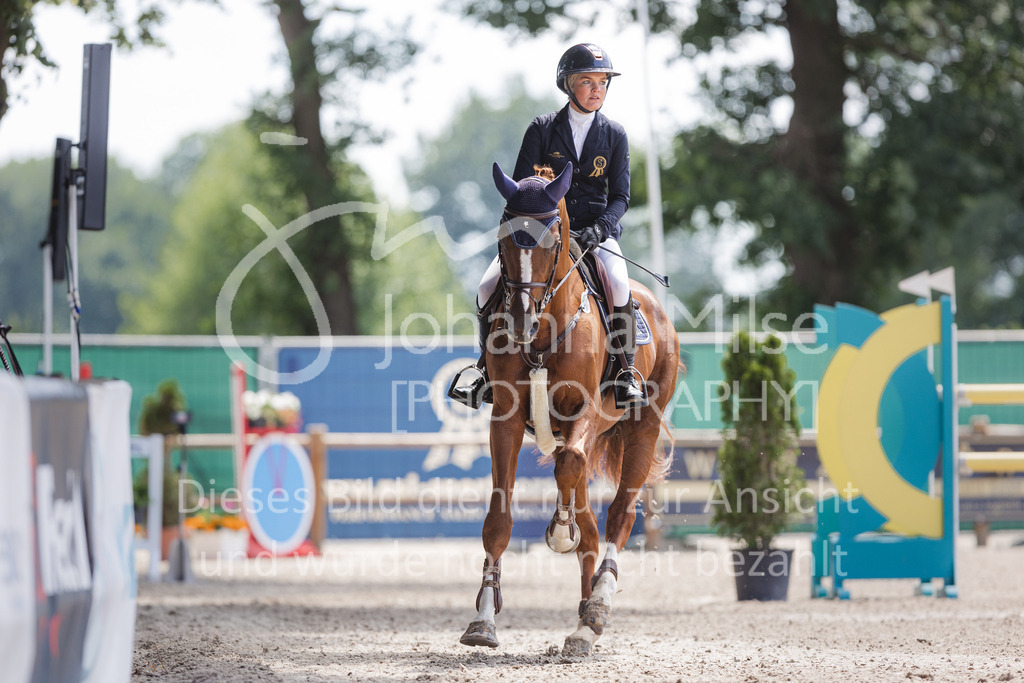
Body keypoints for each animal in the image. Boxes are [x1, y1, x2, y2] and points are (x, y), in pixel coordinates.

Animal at [459, 162, 681, 656]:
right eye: (503, 237)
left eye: (551, 238)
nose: (521, 323)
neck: (546, 331)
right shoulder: (505, 420)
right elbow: (498, 520)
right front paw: (483, 620)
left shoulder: (588, 411)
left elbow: (573, 469)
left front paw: (560, 531)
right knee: (592, 524)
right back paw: (583, 627)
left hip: (642, 427)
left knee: (619, 514)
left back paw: (598, 606)